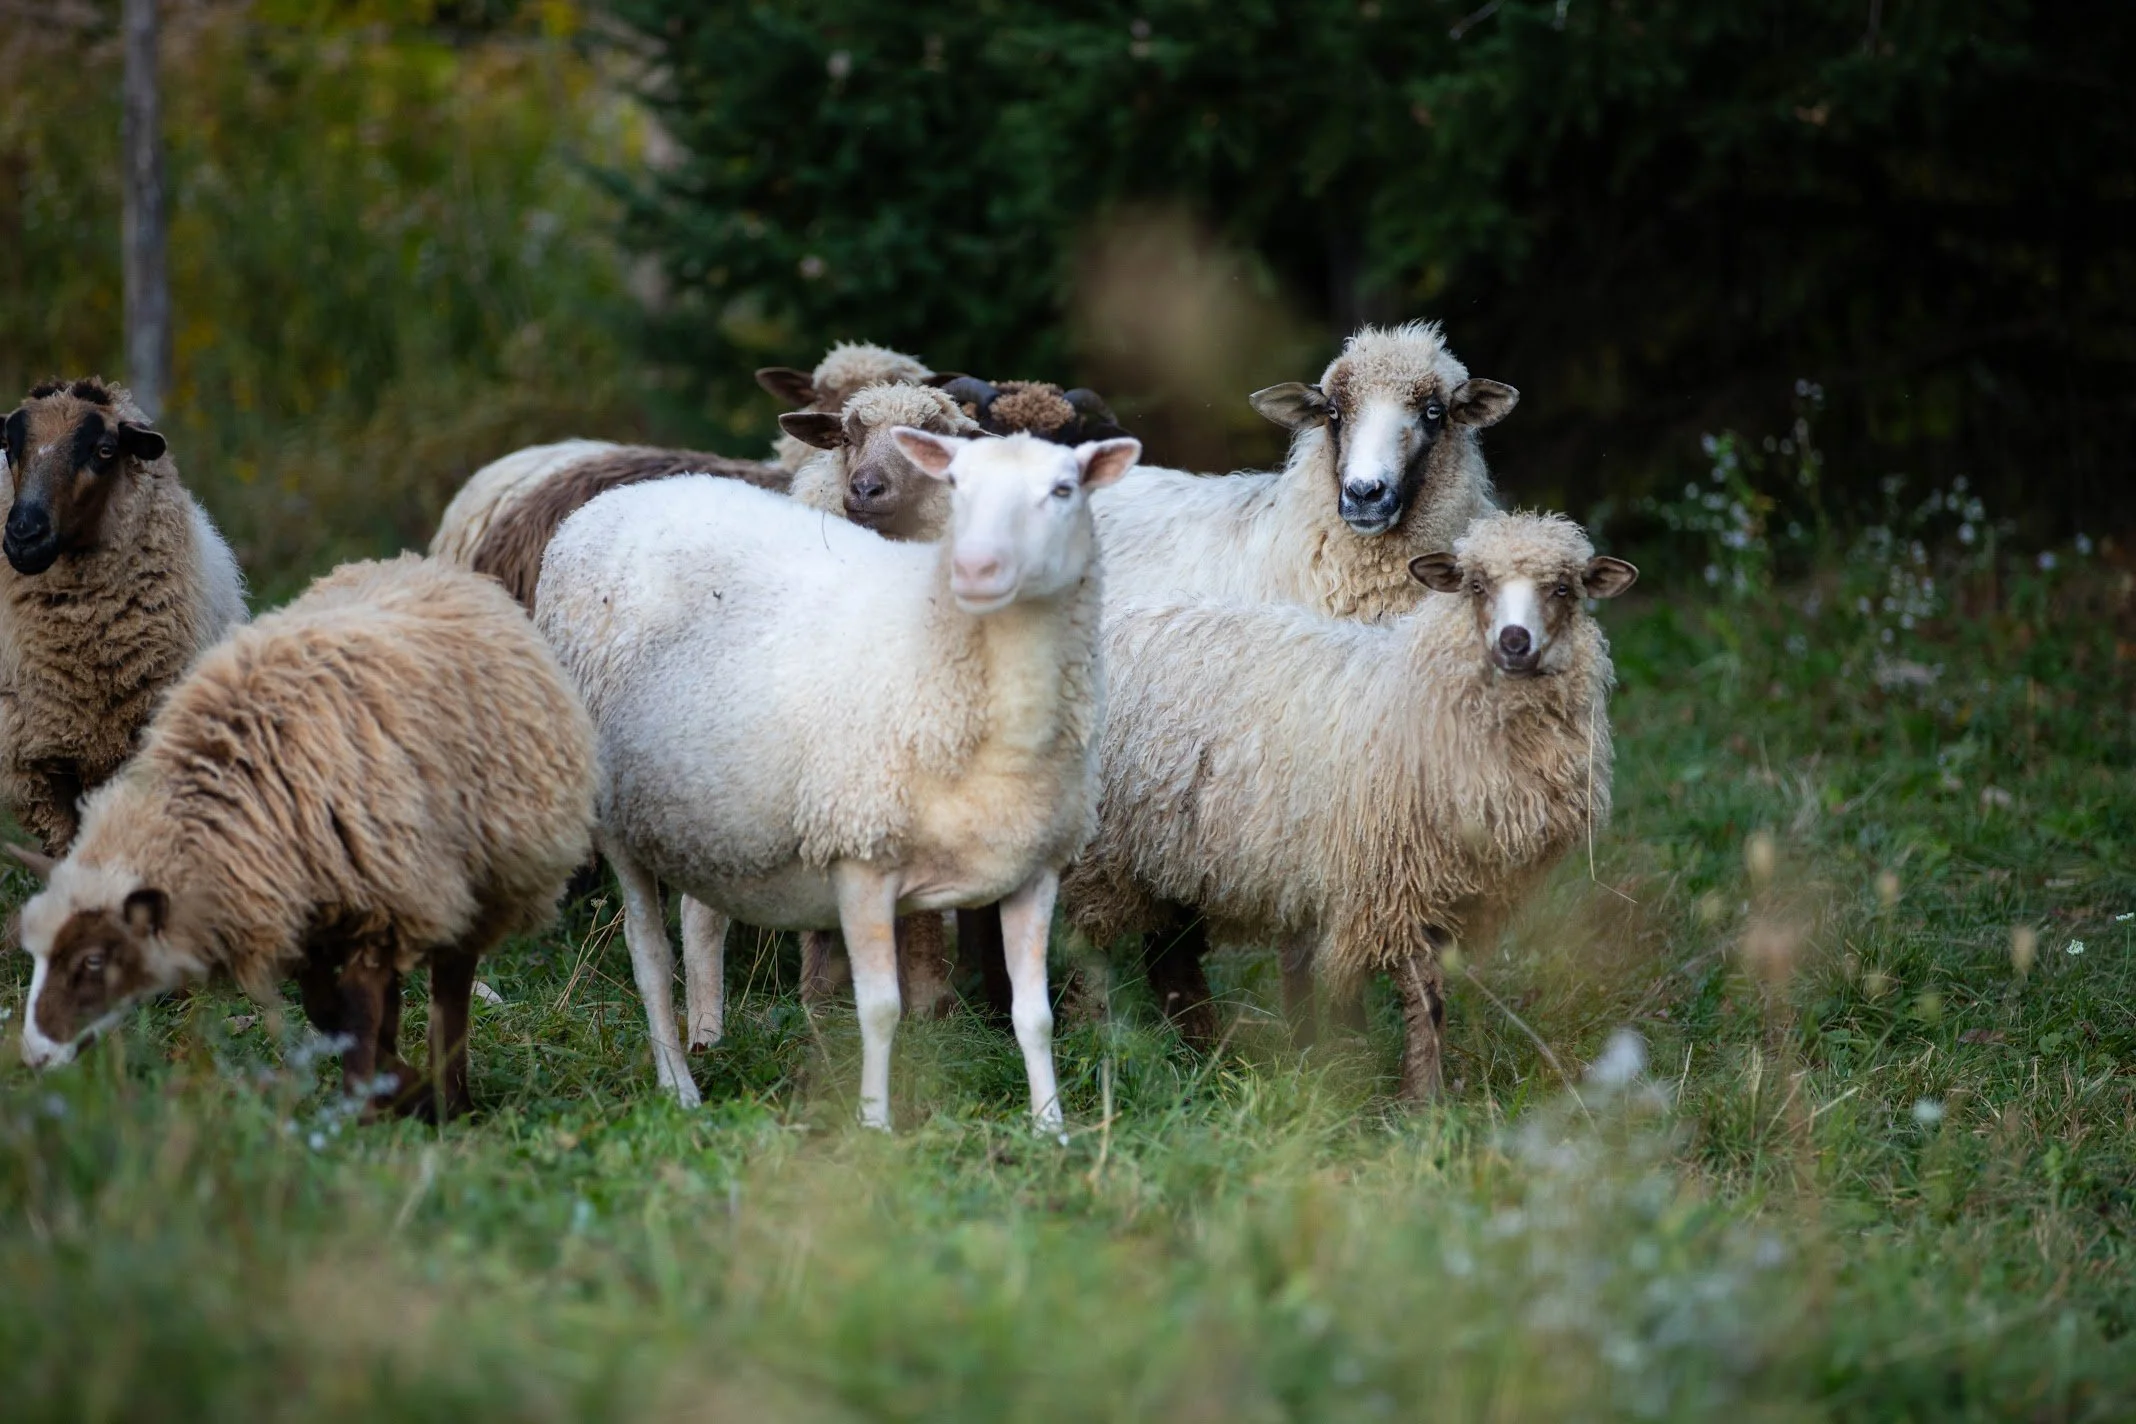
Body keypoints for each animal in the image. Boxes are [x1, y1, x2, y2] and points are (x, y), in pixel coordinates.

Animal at [11, 554, 597, 1120]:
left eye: (92, 961)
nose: (34, 1056)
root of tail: (428, 565)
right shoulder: (301, 912)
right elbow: (330, 1010)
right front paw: (392, 1091)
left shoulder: (381, 903)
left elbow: (358, 1010)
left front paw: (377, 1105)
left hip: (477, 877)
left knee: (450, 987)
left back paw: (453, 1098)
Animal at [535, 430, 1140, 1126]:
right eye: (956, 486)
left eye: (1064, 490)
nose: (975, 569)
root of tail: (613, 503)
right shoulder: (861, 857)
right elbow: (879, 1010)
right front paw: (874, 1123)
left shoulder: (1034, 868)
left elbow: (1033, 1015)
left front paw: (1051, 1127)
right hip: (618, 814)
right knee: (648, 954)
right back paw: (678, 1085)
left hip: (705, 810)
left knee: (700, 917)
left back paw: (708, 1038)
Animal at [1060, 511, 1636, 1099]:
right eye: (1476, 585)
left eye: (1562, 588)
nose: (1514, 641)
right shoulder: (1390, 884)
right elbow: (1421, 992)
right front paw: (1415, 1098)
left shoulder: (1443, 889)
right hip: (1106, 851)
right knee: (1088, 945)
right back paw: (1095, 1038)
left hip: (1172, 852)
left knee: (1169, 958)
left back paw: (1205, 1058)